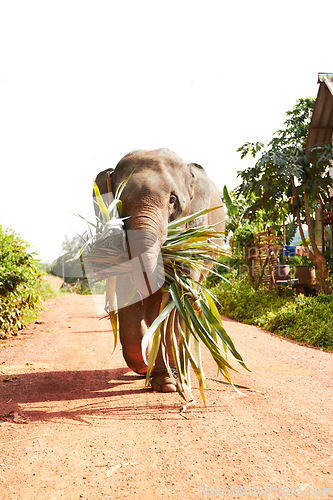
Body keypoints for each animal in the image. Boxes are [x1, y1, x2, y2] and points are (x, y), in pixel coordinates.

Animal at [92, 150, 223, 392]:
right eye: (118, 202)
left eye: (173, 200)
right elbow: (128, 298)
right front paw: (148, 367)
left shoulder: (195, 232)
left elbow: (174, 303)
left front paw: (168, 384)